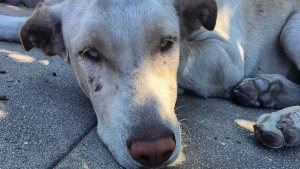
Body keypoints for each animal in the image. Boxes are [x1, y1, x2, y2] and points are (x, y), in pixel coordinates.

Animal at [0, 0, 300, 168]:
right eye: (90, 54)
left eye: (167, 43)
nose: (154, 151)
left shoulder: (227, 56)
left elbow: (185, 56)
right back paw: (264, 91)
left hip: (291, 29)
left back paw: (284, 121)